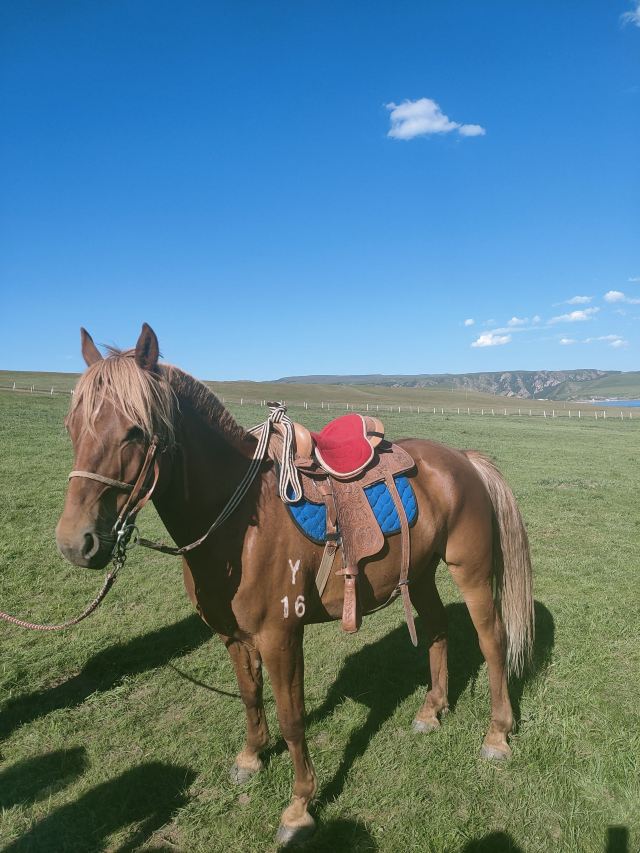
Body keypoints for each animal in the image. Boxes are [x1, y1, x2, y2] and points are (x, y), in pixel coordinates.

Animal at [56, 323, 534, 846]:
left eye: (136, 431)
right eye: (72, 426)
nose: (75, 542)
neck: (238, 522)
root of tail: (462, 459)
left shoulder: (280, 636)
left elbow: (292, 718)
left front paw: (299, 808)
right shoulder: (232, 635)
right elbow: (250, 696)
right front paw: (250, 758)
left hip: (470, 570)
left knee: (492, 640)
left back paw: (497, 735)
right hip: (422, 572)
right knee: (438, 628)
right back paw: (431, 711)